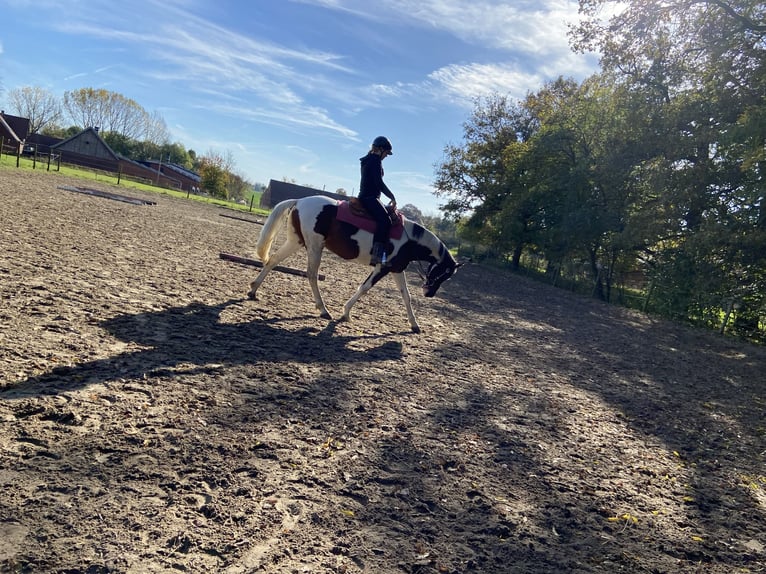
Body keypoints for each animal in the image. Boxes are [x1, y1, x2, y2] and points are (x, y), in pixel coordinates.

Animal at [248, 197, 462, 336]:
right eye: (445, 273)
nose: (429, 294)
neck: (410, 240)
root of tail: (300, 201)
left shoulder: (396, 269)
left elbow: (406, 296)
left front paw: (415, 325)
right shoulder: (382, 268)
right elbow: (364, 287)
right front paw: (345, 313)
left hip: (296, 241)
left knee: (273, 260)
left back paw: (253, 291)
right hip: (314, 246)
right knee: (311, 274)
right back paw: (323, 310)